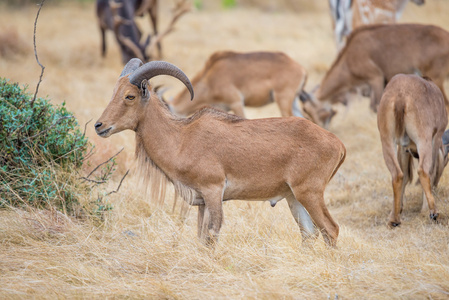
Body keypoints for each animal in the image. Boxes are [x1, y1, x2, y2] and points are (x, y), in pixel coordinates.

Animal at [95, 58, 346, 246]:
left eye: (130, 96)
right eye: (114, 92)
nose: (99, 125)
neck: (181, 139)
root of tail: (338, 144)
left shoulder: (213, 191)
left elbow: (211, 234)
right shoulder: (202, 202)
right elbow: (200, 236)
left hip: (309, 192)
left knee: (331, 229)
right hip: (293, 197)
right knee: (309, 233)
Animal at [306, 22, 448, 126]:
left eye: (316, 112)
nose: (319, 127)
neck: (349, 57)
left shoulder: (376, 78)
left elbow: (375, 108)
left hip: (436, 80)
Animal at [378, 74, 448, 227]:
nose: (436, 186)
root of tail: (401, 96)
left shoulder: (404, 149)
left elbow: (404, 175)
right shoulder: (435, 139)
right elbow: (430, 171)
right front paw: (425, 210)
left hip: (387, 140)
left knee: (397, 175)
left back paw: (394, 220)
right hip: (423, 140)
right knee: (423, 171)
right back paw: (434, 213)